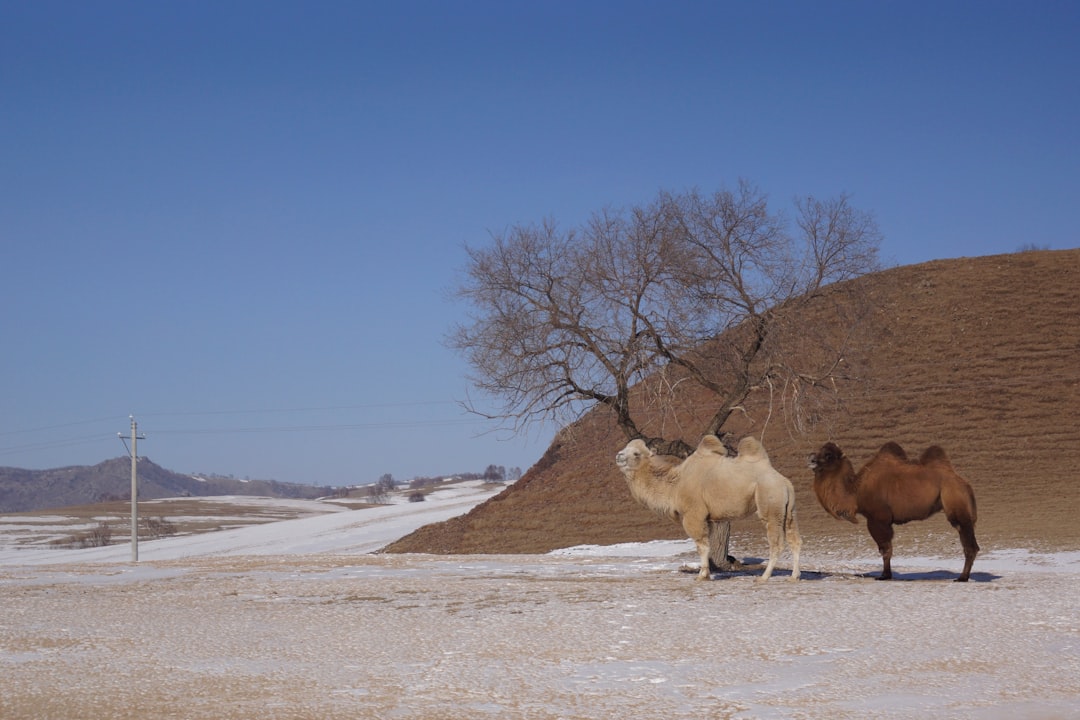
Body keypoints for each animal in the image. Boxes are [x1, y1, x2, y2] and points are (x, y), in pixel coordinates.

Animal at [812, 442, 980, 582]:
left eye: (828, 455)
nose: (811, 459)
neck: (856, 491)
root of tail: (964, 483)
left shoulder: (878, 519)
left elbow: (885, 549)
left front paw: (884, 576)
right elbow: (886, 549)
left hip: (955, 501)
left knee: (969, 543)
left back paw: (962, 578)